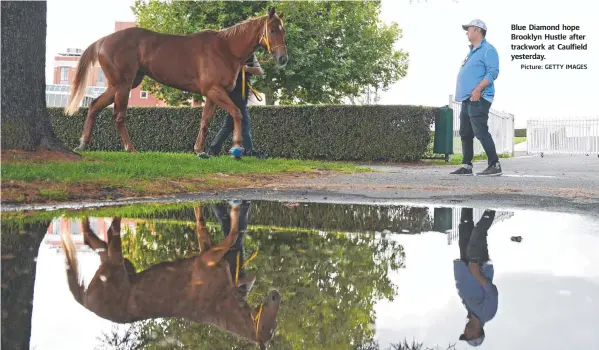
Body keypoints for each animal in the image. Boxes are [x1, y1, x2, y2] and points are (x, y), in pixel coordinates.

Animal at [59, 201, 280, 348]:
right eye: (270, 328)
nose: (277, 295)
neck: (219, 303)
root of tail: (87, 304)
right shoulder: (207, 257)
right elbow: (233, 235)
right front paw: (234, 210)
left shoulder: (208, 250)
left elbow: (202, 223)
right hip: (116, 261)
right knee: (110, 230)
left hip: (119, 264)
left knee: (90, 239)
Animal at [64, 7, 288, 159]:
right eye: (273, 30)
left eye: (283, 30)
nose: (283, 58)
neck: (225, 49)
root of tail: (102, 41)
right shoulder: (215, 91)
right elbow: (237, 113)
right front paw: (237, 146)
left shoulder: (212, 94)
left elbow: (205, 121)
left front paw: (199, 150)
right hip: (123, 86)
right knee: (119, 116)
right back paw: (130, 148)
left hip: (118, 86)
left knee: (94, 106)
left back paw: (83, 144)